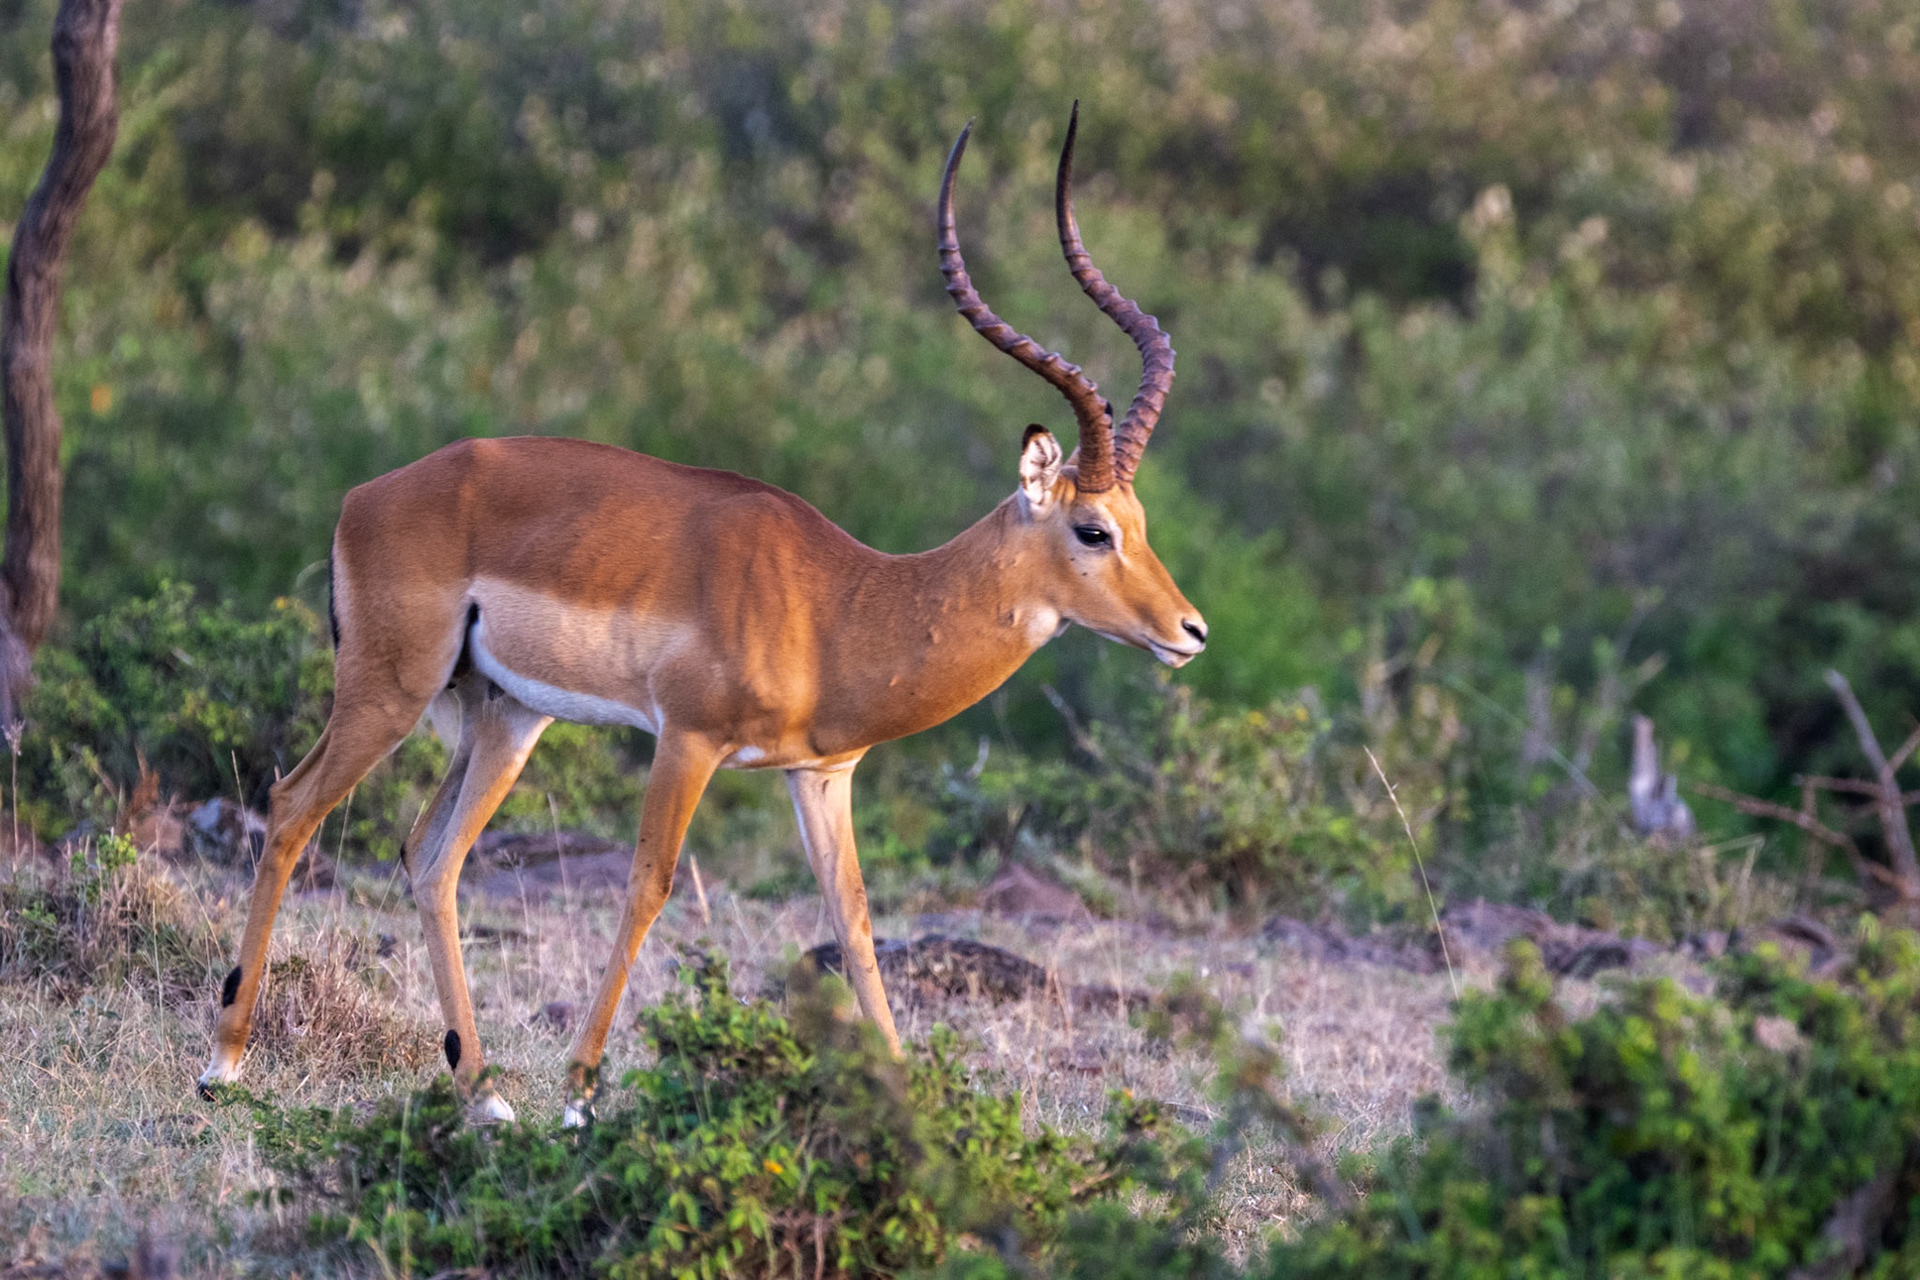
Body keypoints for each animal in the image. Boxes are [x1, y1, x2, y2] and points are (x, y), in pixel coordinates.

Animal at [196, 107, 1206, 1125]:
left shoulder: (824, 773)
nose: (1191, 632)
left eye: (1141, 523)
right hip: (389, 690)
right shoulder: (686, 738)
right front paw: (579, 1096)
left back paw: (481, 1095)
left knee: (430, 856)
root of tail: (364, 496)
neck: (842, 603)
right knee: (292, 808)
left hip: (507, 717)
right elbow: (650, 885)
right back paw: (226, 1063)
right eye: (1091, 529)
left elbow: (855, 918)